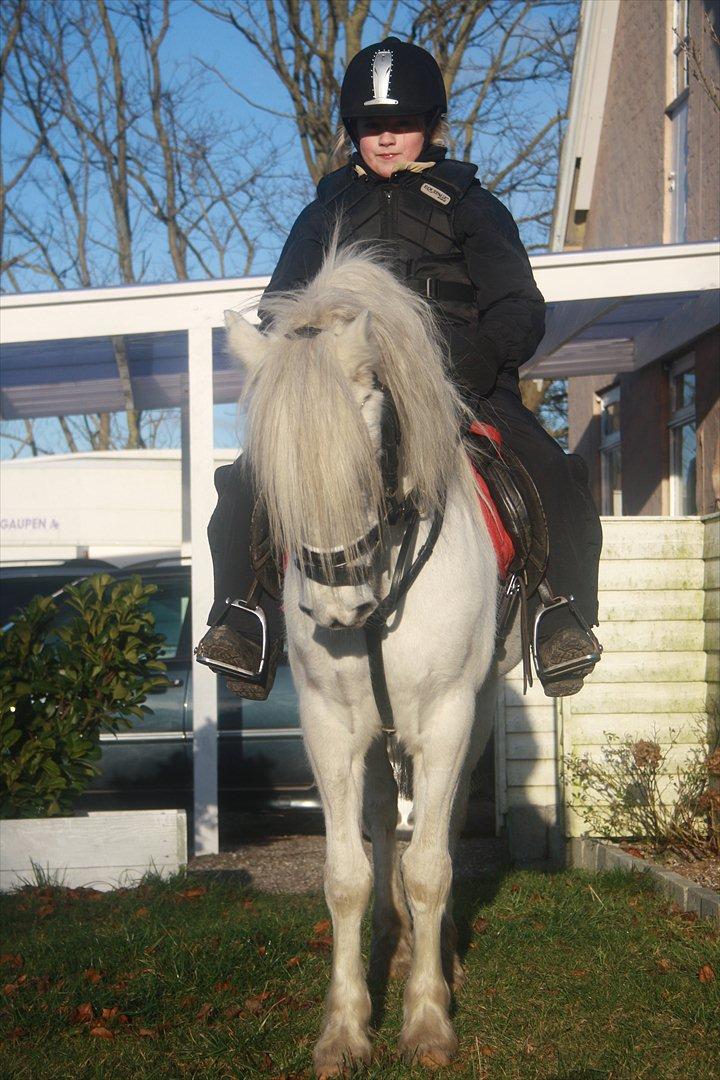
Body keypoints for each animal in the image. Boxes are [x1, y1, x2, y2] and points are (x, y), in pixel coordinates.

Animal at [225, 243, 521, 1077]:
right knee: (388, 820)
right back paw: (397, 945)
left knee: (441, 830)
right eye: (271, 468)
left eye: (371, 440)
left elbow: (431, 866)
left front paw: (427, 1020)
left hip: (472, 718)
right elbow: (347, 877)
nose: (336, 609)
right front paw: (345, 1027)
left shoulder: (449, 719)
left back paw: (438, 953)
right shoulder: (329, 726)